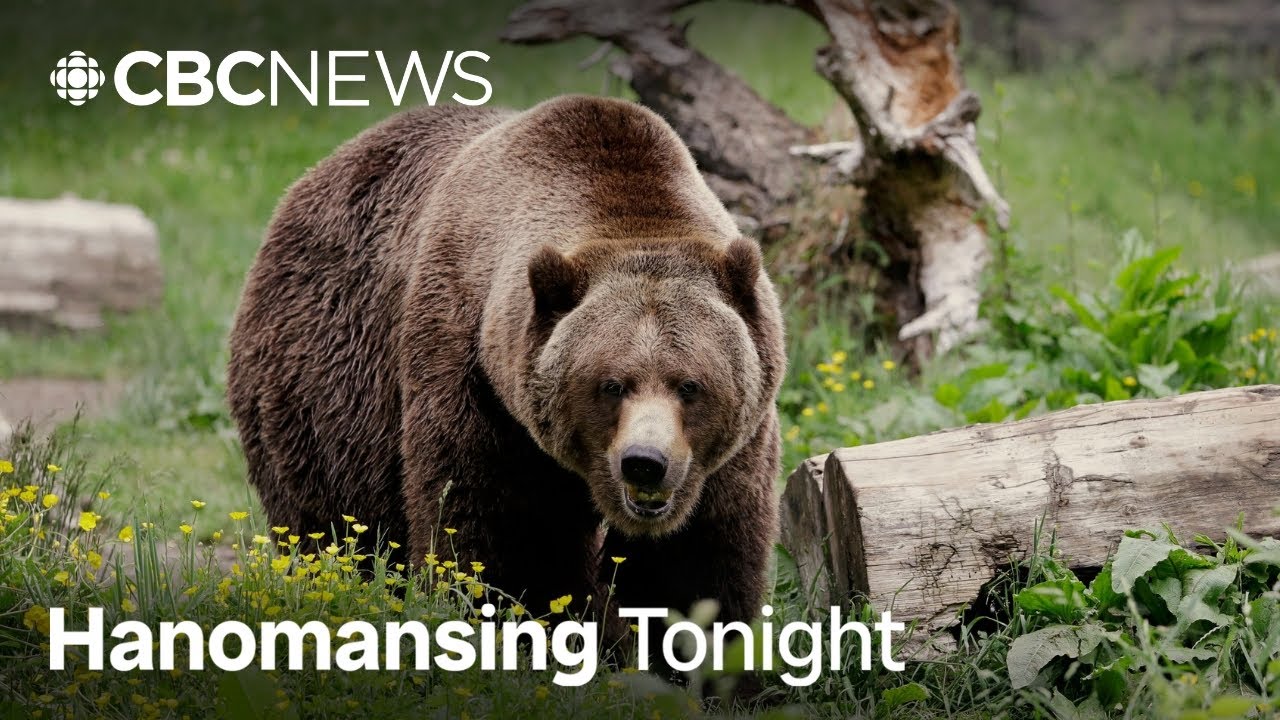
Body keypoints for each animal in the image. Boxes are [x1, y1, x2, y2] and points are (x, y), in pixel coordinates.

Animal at [227, 95, 786, 636]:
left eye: (690, 384)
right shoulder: (475, 378)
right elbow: (500, 534)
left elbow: (695, 560)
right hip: (326, 384)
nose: (645, 462)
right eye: (611, 384)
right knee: (335, 520)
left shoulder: (731, 447)